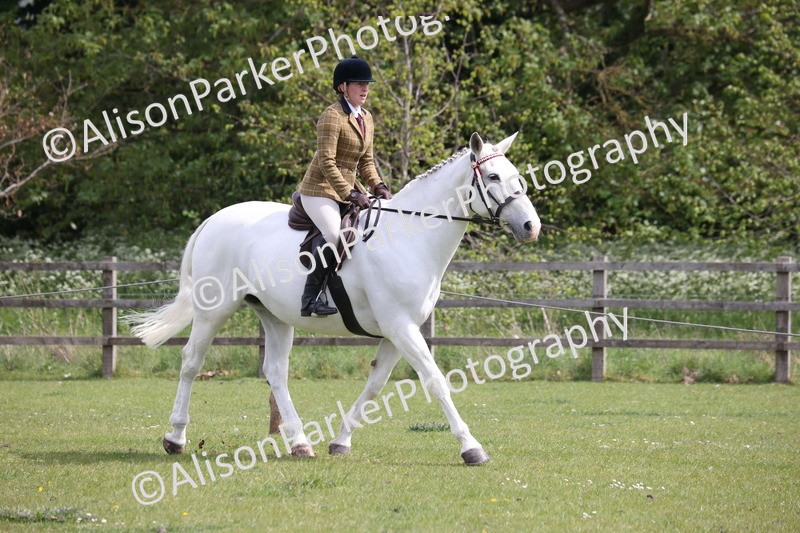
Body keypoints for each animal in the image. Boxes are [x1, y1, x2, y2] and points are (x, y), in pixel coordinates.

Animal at [130, 131, 541, 465]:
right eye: (492, 177)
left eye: (515, 176)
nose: (530, 226)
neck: (411, 236)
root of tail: (213, 219)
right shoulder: (401, 326)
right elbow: (436, 381)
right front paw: (472, 448)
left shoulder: (397, 331)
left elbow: (374, 386)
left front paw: (341, 442)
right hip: (214, 310)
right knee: (191, 362)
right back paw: (175, 437)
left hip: (274, 316)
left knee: (275, 372)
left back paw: (300, 443)